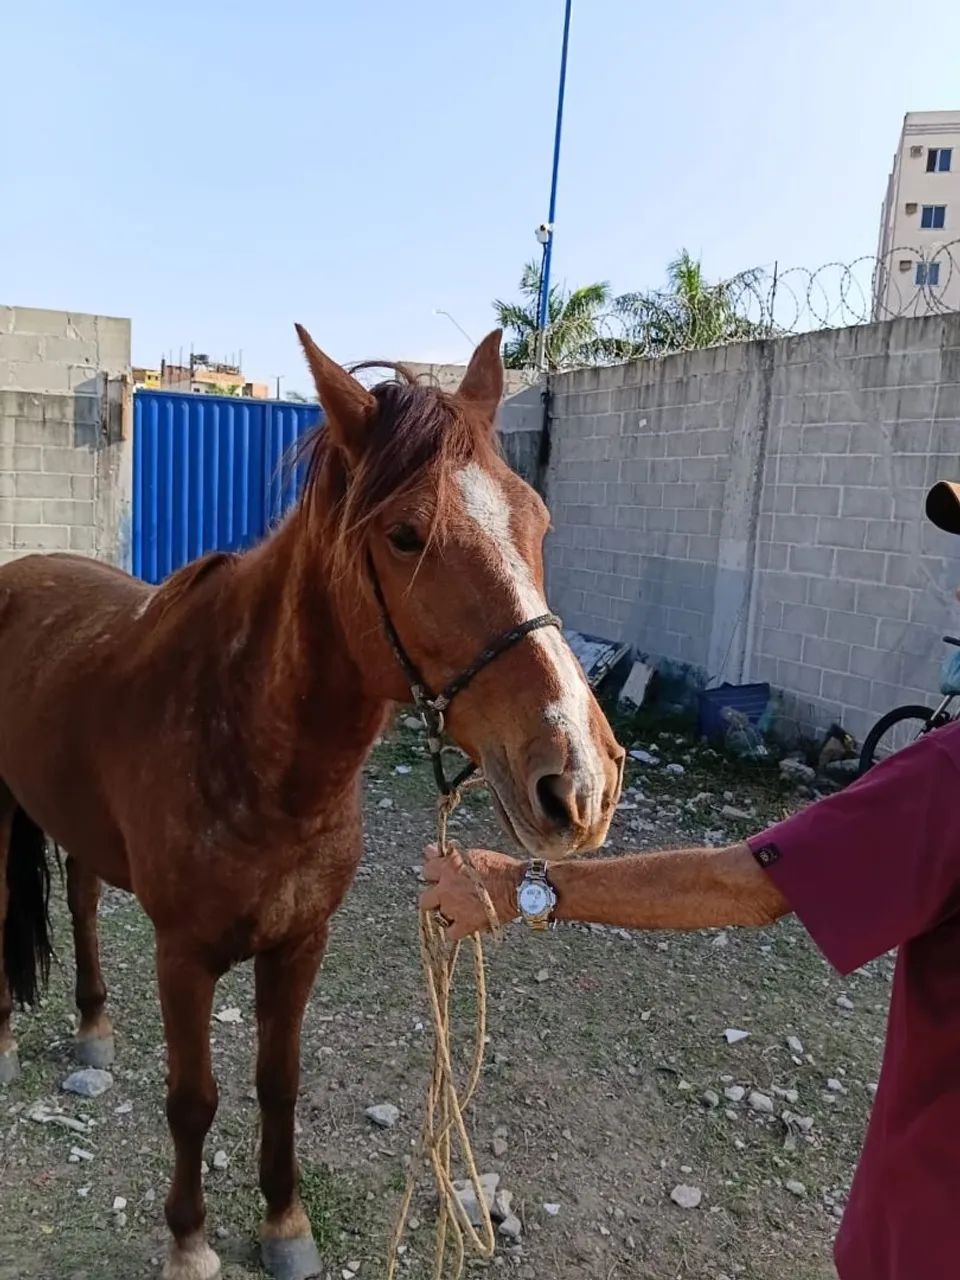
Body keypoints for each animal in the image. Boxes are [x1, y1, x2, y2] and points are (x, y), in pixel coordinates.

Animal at [0, 326, 624, 1280]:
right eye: (405, 535)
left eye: (537, 521)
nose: (580, 783)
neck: (253, 753)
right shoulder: (184, 957)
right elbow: (193, 1098)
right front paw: (189, 1240)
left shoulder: (300, 946)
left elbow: (278, 1083)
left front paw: (284, 1225)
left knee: (79, 899)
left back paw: (94, 1026)